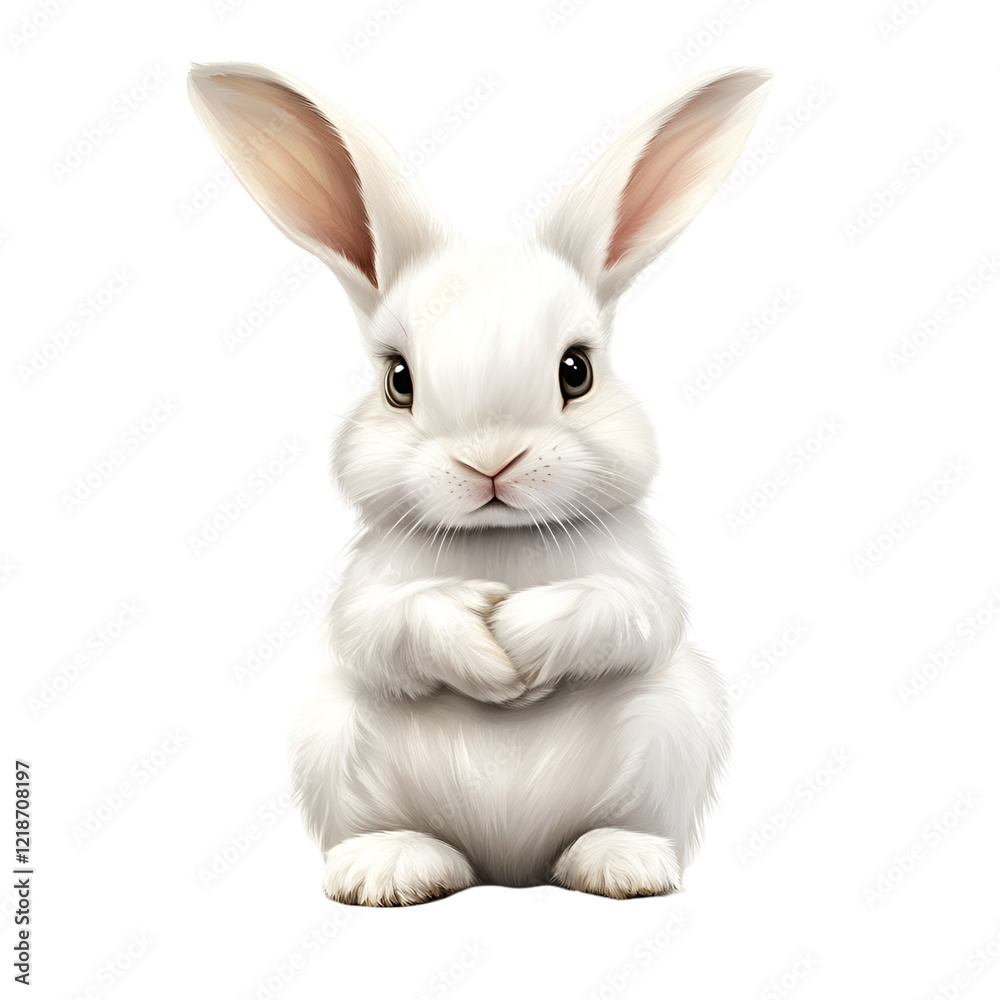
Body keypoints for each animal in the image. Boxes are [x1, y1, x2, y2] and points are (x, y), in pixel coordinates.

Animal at [188, 61, 771, 904]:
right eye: (398, 380)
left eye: (576, 371)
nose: (490, 464)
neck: (500, 538)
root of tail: (508, 869)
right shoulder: (368, 592)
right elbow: (381, 626)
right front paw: (482, 639)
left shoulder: (639, 584)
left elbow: (622, 612)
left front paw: (518, 634)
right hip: (330, 733)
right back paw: (391, 869)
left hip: (677, 720)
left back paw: (621, 864)